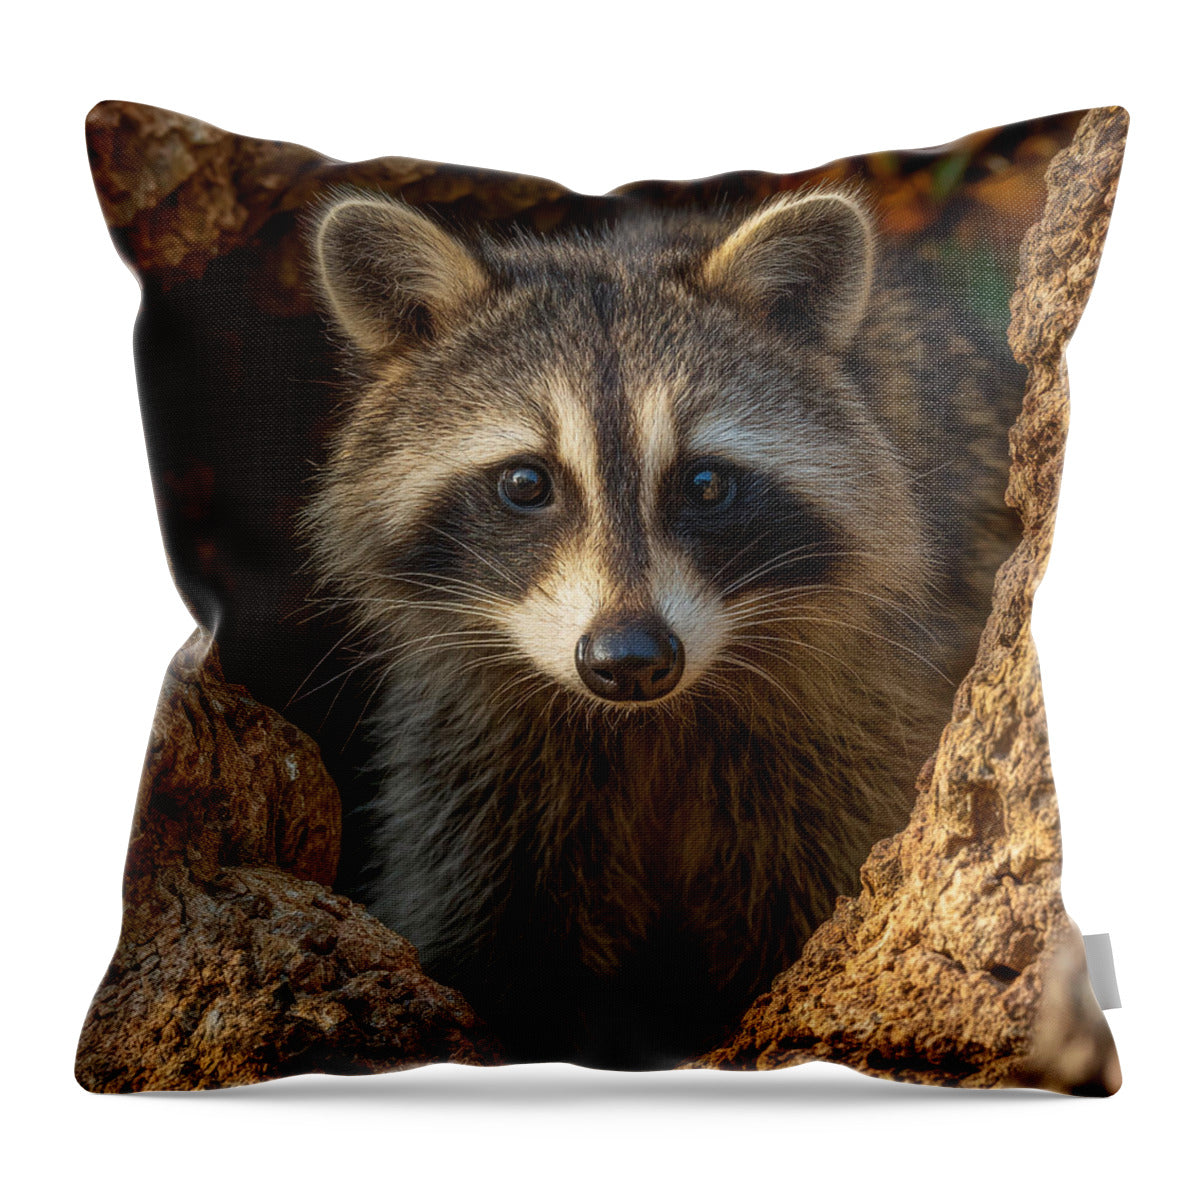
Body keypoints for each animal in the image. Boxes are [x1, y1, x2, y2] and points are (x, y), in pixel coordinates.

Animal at [305, 187, 1024, 1068]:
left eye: (706, 484)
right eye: (525, 483)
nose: (630, 658)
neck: (646, 723)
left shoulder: (858, 714)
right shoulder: (474, 752)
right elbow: (484, 931)